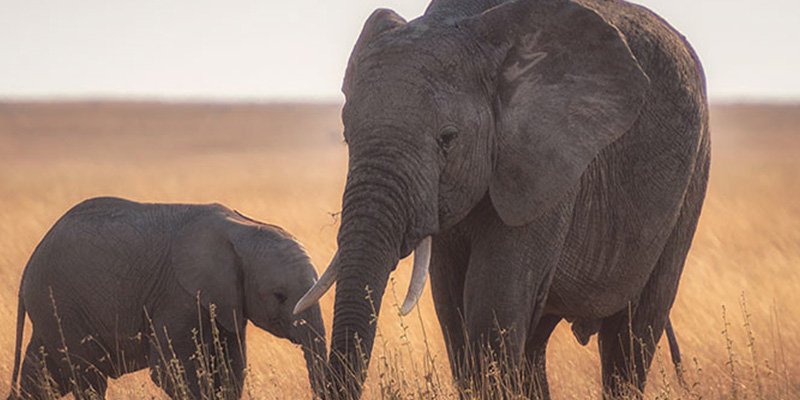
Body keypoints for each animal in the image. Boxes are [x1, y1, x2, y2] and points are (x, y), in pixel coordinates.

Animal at [7, 197, 327, 399]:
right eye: (279, 296)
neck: (242, 228)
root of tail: (29, 266)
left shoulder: (226, 301)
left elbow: (231, 370)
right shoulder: (177, 296)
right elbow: (173, 373)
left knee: (41, 378)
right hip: (60, 304)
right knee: (88, 378)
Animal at [293, 0, 709, 398]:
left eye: (448, 139)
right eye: (346, 135)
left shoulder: (547, 162)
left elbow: (492, 304)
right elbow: (453, 308)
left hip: (692, 177)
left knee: (632, 334)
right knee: (536, 344)